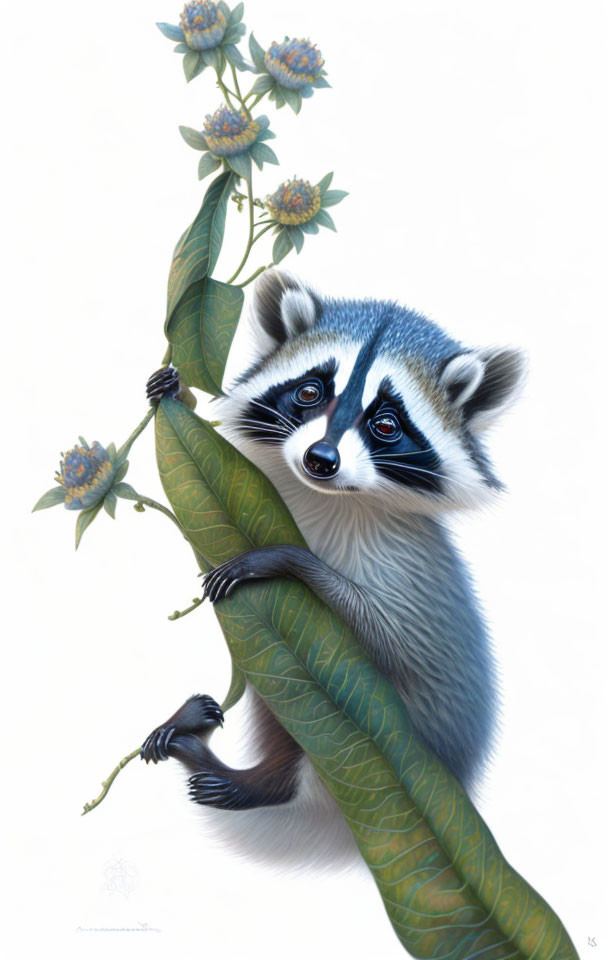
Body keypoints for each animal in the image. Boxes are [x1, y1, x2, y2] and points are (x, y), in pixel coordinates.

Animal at [141, 270, 524, 872]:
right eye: (309, 392)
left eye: (386, 423)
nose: (320, 459)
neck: (324, 494)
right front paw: (178, 395)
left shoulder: (408, 566)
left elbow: (396, 640)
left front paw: (286, 557)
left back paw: (254, 781)